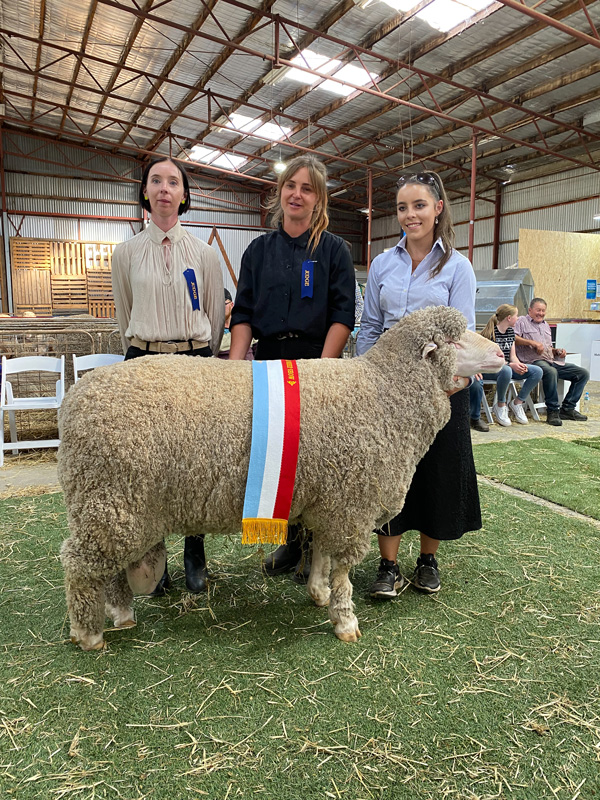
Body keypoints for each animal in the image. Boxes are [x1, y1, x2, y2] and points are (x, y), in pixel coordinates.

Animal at [58, 306, 504, 648]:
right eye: (456, 341)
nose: (500, 353)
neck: (385, 393)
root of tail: (75, 399)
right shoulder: (351, 504)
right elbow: (343, 571)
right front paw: (345, 621)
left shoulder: (330, 497)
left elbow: (321, 554)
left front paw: (319, 593)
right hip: (110, 499)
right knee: (81, 567)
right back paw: (88, 634)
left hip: (116, 506)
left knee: (110, 569)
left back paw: (122, 614)